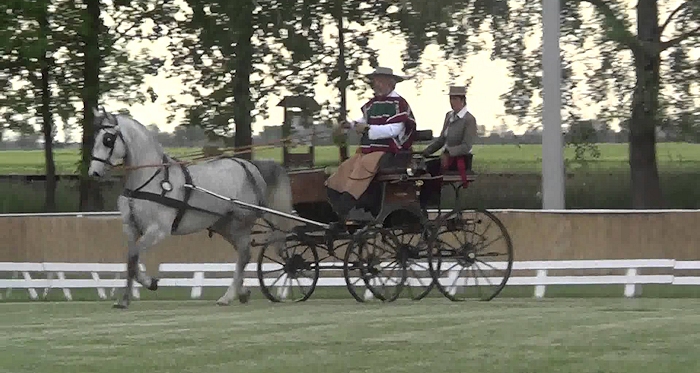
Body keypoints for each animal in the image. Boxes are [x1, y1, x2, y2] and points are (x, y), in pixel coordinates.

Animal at [88, 106, 296, 306]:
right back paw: (241, 293)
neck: (148, 180)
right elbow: (131, 259)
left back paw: (228, 297)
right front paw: (131, 294)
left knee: (244, 255)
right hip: (226, 226)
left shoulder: (157, 230)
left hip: (240, 223)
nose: (94, 173)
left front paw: (139, 289)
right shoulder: (131, 228)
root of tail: (249, 166)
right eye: (95, 137)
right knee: (243, 254)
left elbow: (134, 256)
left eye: (107, 139)